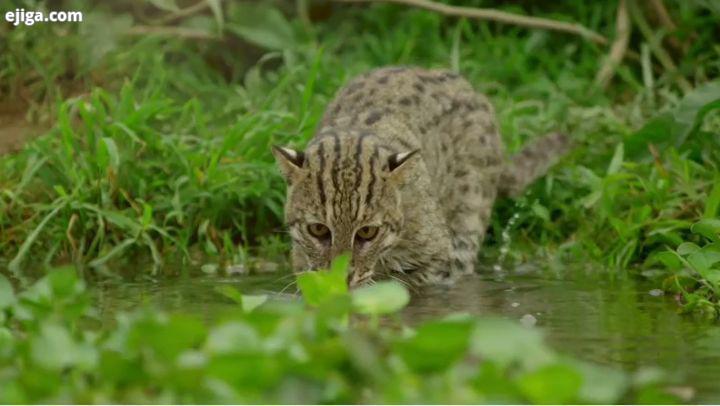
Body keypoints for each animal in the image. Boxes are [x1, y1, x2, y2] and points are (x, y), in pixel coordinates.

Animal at [274, 66, 568, 286]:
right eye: (318, 229)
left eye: (368, 232)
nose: (341, 278)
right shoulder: (303, 263)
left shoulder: (437, 261)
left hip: (469, 215)